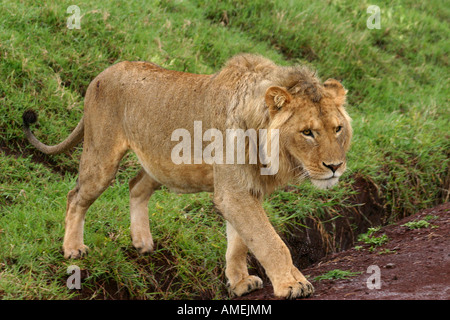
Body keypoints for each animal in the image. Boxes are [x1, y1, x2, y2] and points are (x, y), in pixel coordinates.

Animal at [22, 53, 352, 300]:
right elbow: (269, 241)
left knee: (135, 186)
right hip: (101, 157)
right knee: (75, 196)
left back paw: (142, 242)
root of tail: (101, 74)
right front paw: (292, 284)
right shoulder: (234, 192)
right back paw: (72, 249)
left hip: (159, 164)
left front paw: (239, 283)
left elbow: (240, 241)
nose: (335, 166)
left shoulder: (245, 190)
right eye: (307, 133)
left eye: (337, 129)